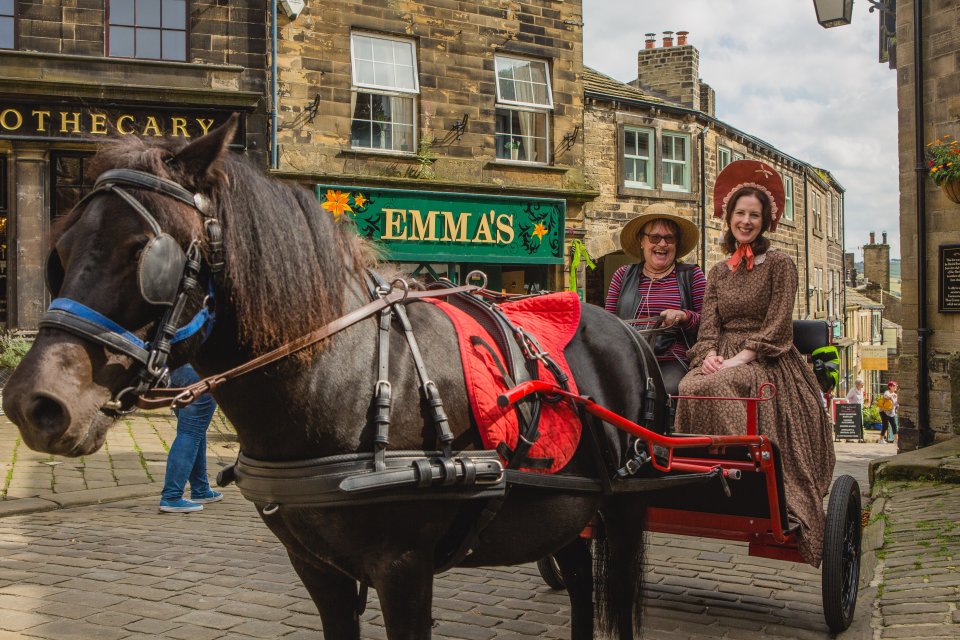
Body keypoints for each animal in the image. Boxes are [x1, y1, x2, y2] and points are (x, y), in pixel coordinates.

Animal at [1, 116, 668, 640]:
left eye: (147, 253)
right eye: (60, 252)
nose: (34, 402)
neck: (338, 373)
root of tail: (626, 329)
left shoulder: (404, 568)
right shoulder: (317, 569)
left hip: (621, 509)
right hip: (569, 511)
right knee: (579, 583)